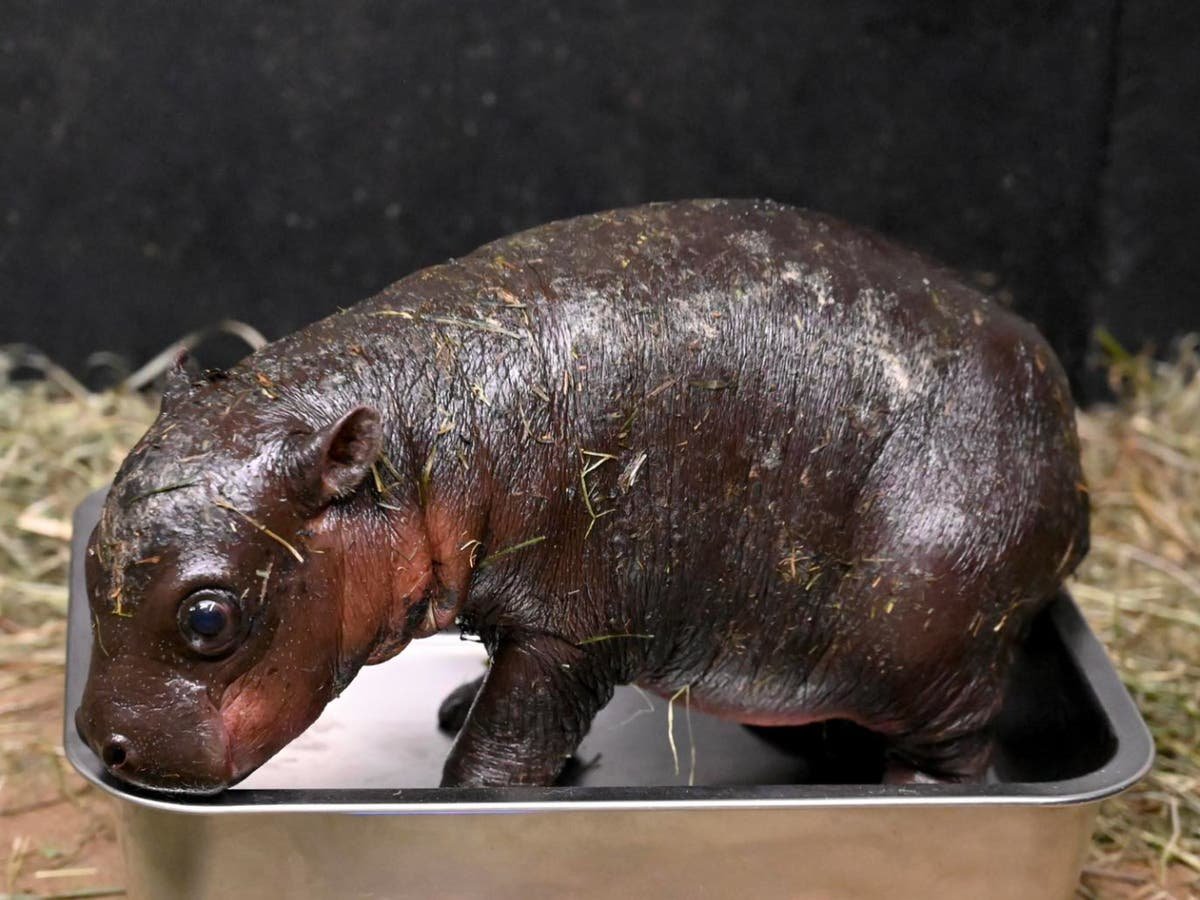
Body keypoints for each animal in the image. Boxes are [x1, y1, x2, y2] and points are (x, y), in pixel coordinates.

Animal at [75, 199, 1087, 793]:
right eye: (87, 562)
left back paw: (908, 794)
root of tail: (1069, 449)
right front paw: (459, 707)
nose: (98, 744)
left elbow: (509, 743)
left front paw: (473, 786)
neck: (421, 433)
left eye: (209, 618)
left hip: (932, 641)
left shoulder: (570, 629)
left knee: (959, 750)